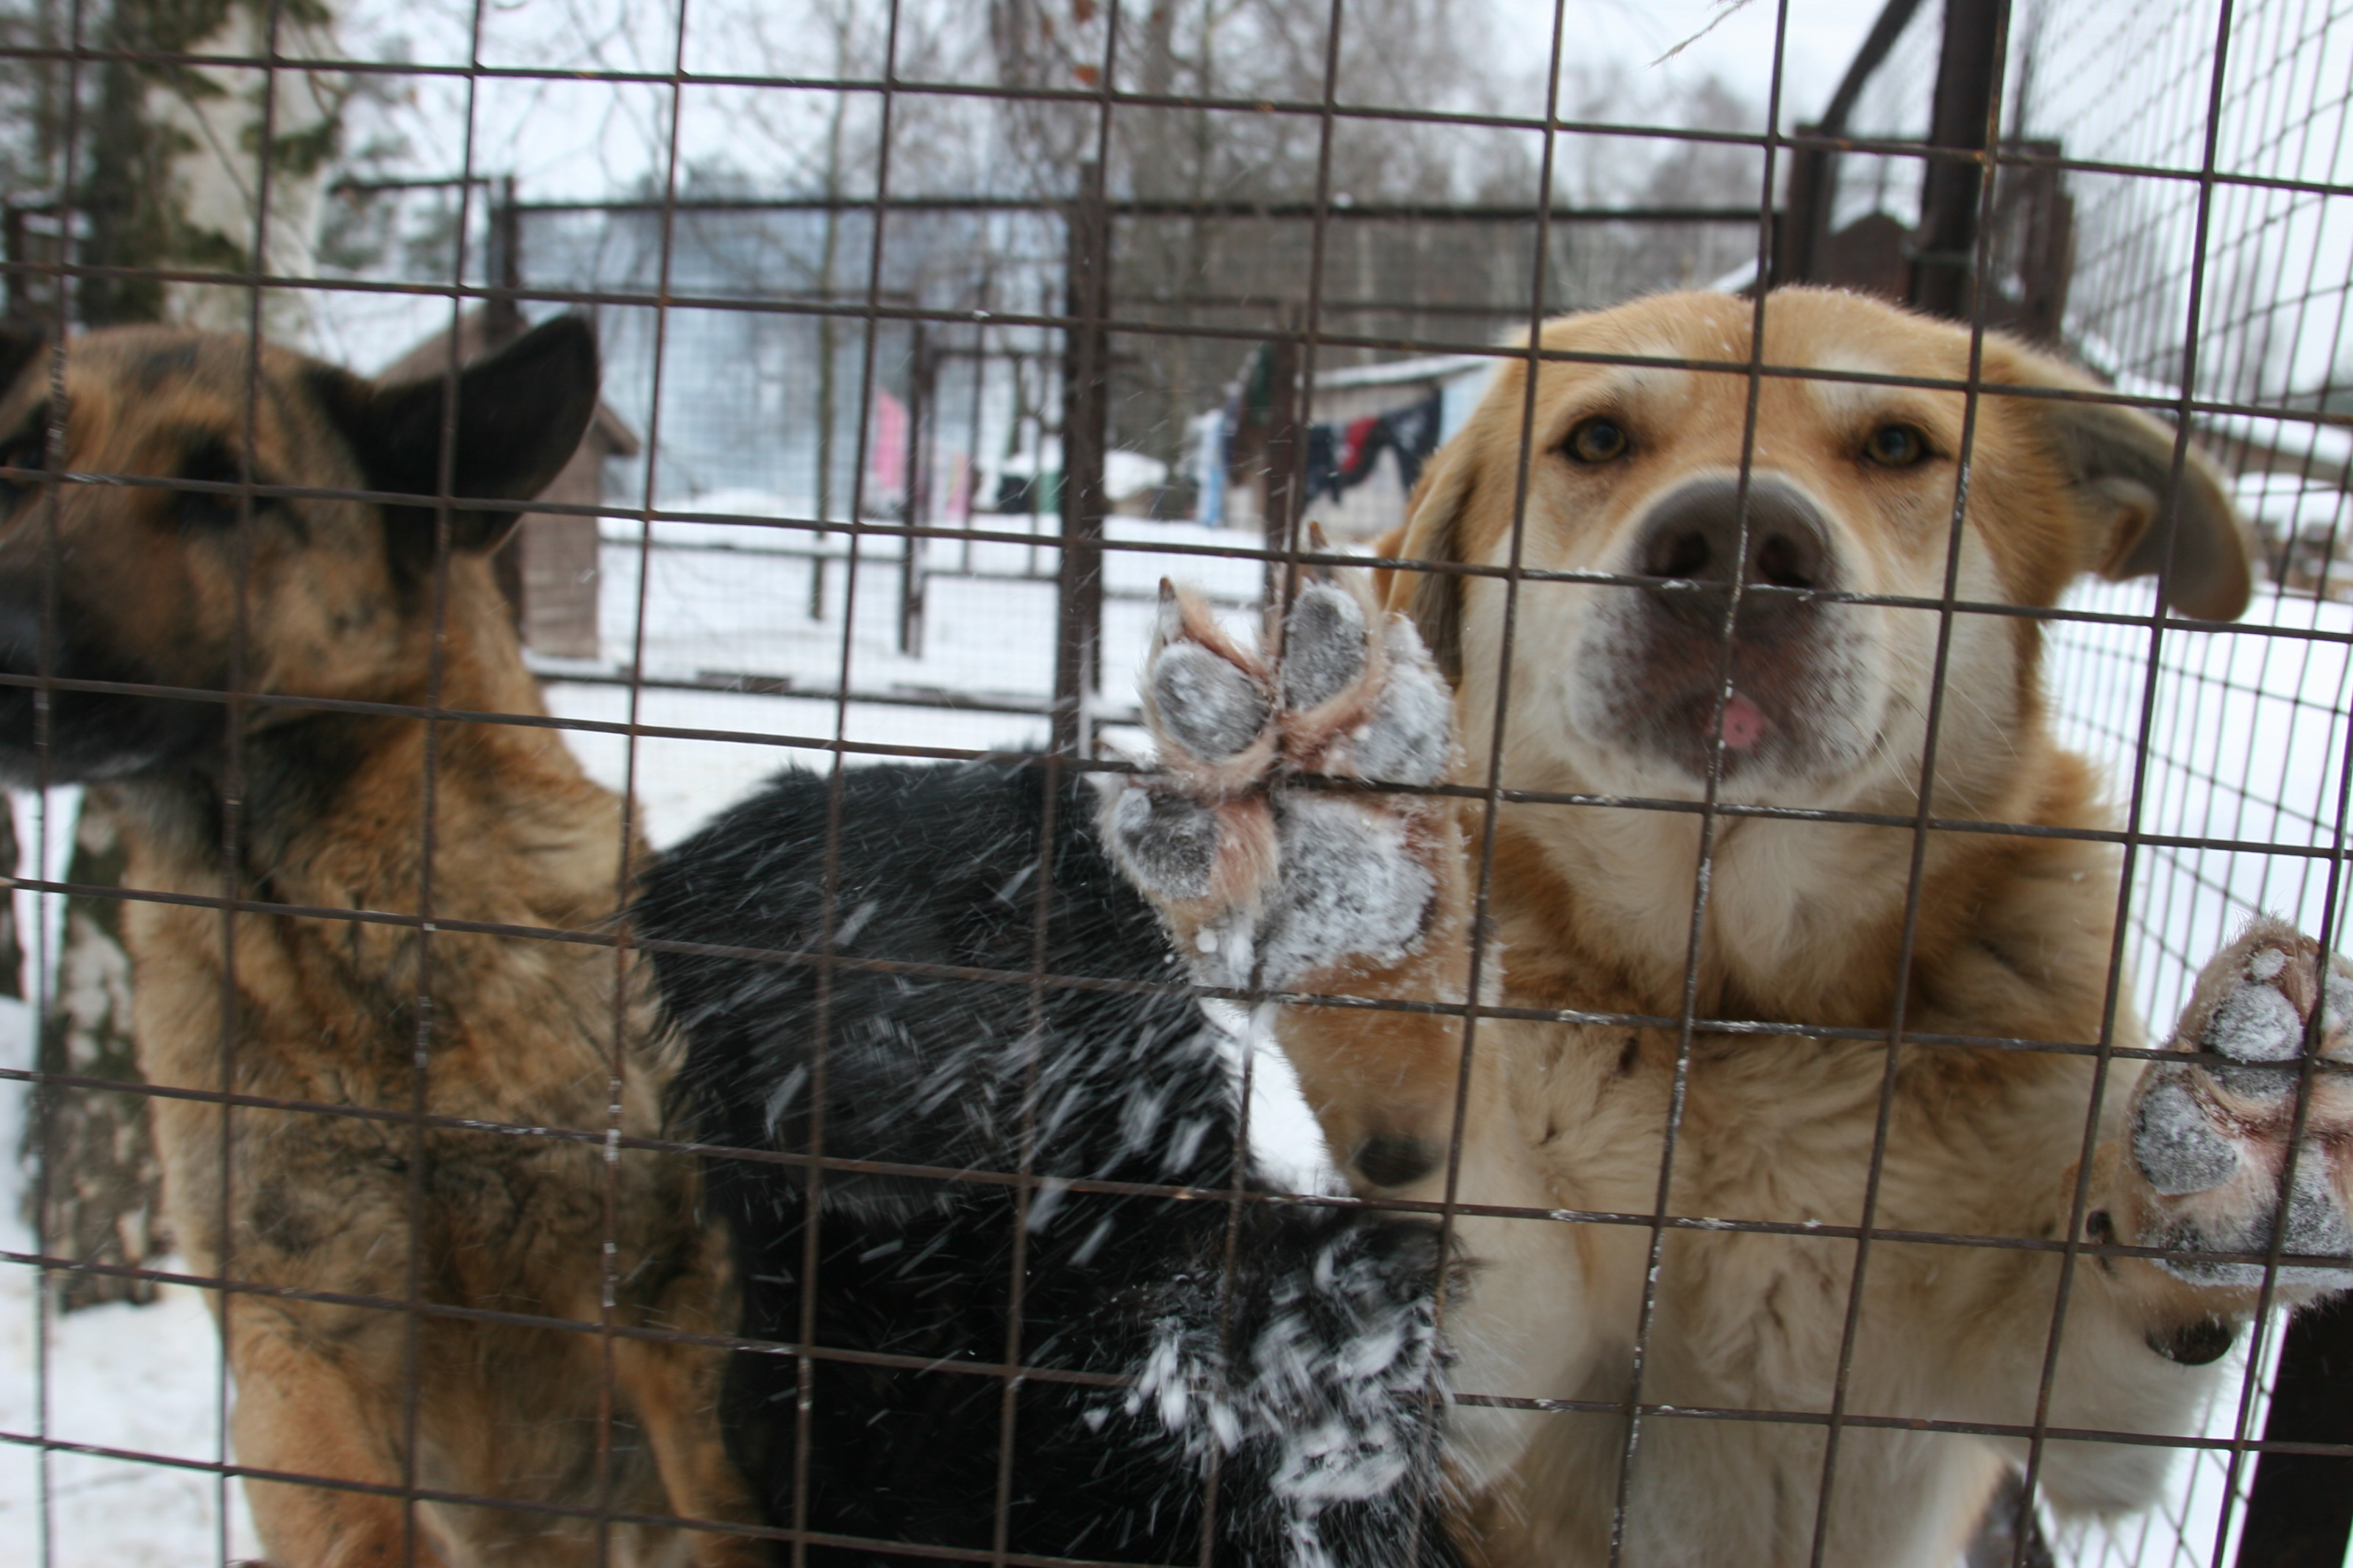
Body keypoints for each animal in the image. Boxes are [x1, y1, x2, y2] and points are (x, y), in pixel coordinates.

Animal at [0, 322, 757, 1568]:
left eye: (228, 493)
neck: (347, 943)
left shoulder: (665, 1299)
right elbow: (356, 1525)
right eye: (20, 460)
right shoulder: (299, 1337)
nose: (7, 644)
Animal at [1101, 287, 2353, 1561]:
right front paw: (1359, 905)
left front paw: (2238, 1157)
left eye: (1896, 444)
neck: (1749, 1012)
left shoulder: (2071, 1427)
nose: (1739, 547)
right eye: (1599, 438)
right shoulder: (1486, 1386)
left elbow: (2122, 1343)